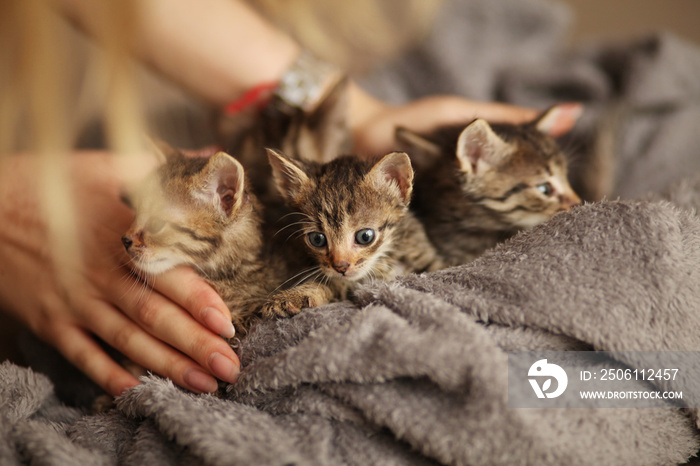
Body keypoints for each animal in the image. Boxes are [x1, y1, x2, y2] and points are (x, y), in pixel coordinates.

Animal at [262, 149, 442, 314]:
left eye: (365, 237)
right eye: (317, 239)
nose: (340, 267)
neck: (385, 258)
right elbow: (336, 284)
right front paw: (293, 296)